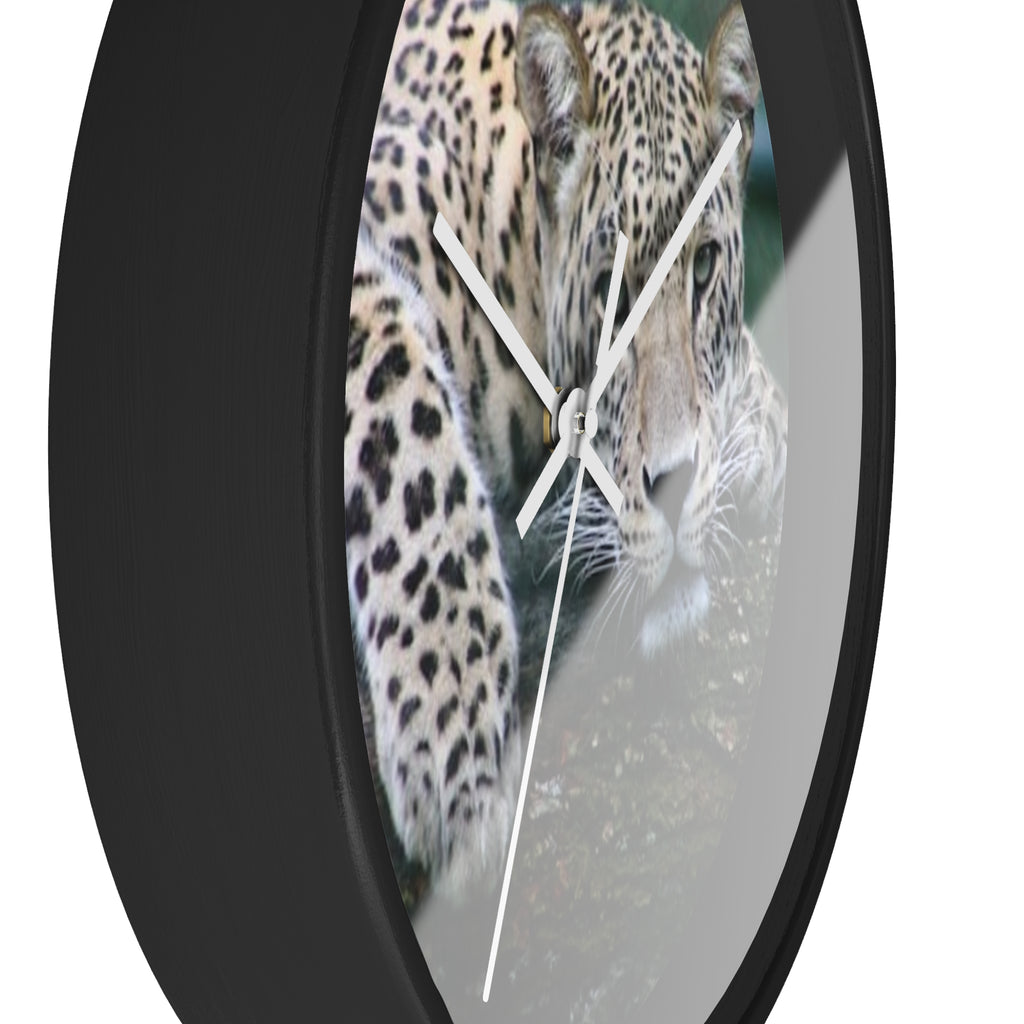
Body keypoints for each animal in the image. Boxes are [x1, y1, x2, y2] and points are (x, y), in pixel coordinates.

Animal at [345, 0, 788, 895]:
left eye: (704, 268)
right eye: (611, 288)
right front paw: (454, 735)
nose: (675, 484)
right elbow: (400, 391)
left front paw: (754, 428)